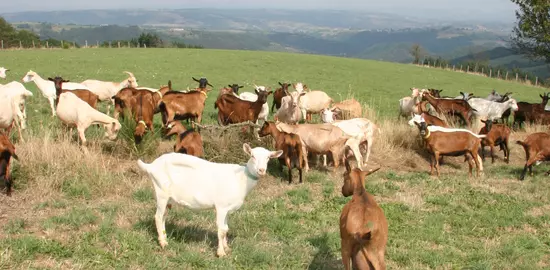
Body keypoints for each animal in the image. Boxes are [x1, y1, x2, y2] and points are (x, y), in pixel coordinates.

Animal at [138, 143, 284, 258]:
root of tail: (151, 166)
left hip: (168, 198)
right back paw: (163, 243)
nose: (261, 170)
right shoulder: (221, 206)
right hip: (161, 192)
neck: (241, 179)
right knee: (158, 217)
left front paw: (227, 248)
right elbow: (221, 230)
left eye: (268, 158)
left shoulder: (227, 209)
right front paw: (220, 253)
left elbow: (226, 228)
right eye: (252, 156)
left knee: (163, 216)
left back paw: (164, 238)